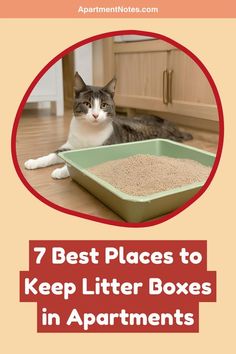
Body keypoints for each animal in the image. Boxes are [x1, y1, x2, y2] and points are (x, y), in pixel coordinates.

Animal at [24, 73, 193, 181]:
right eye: (87, 104)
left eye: (104, 105)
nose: (95, 115)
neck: (88, 131)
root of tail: (173, 127)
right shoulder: (70, 145)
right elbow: (53, 154)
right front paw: (34, 162)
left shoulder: (103, 147)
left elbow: (78, 163)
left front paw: (61, 171)